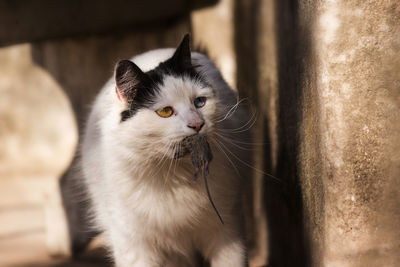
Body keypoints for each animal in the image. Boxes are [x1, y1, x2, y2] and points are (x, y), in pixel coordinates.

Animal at [81, 34, 253, 266]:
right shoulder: (133, 243)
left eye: (200, 102)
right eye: (165, 112)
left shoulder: (227, 231)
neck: (174, 174)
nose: (197, 124)